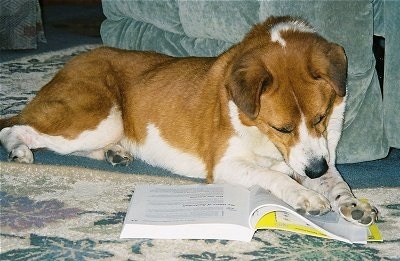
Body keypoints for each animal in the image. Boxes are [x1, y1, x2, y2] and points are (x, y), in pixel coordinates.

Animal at [0, 15, 376, 223]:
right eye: (281, 127)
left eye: (321, 117)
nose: (314, 171)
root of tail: (70, 63)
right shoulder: (225, 164)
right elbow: (274, 175)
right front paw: (305, 197)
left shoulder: (319, 155)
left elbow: (337, 183)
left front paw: (352, 204)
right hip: (99, 117)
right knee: (16, 126)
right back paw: (19, 152)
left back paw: (115, 153)